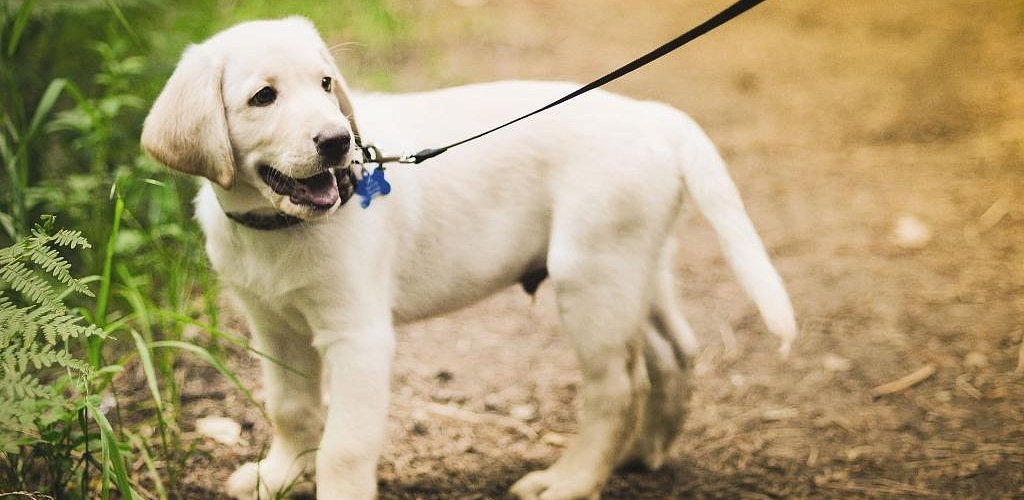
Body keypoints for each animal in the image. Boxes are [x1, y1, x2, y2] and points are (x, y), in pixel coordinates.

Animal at [142, 16, 798, 500]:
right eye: (264, 97)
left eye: (326, 84)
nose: (337, 141)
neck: (277, 227)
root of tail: (648, 113)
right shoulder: (272, 324)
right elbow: (291, 408)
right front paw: (277, 477)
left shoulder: (357, 336)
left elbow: (346, 443)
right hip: (637, 264)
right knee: (674, 353)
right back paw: (641, 454)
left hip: (592, 277)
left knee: (616, 388)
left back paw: (570, 481)